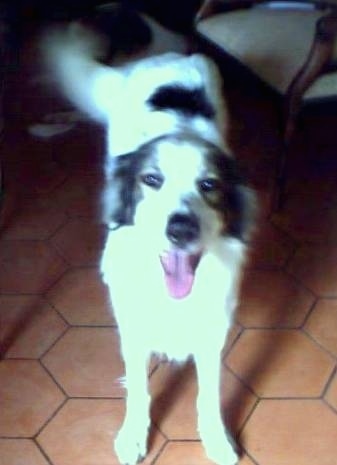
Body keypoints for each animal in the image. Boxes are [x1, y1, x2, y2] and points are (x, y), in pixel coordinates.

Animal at [41, 4, 255, 464]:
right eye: (152, 180)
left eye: (209, 185)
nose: (180, 228)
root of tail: (163, 55)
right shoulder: (134, 327)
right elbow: (138, 387)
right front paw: (133, 434)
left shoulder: (211, 330)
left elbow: (208, 394)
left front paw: (216, 438)